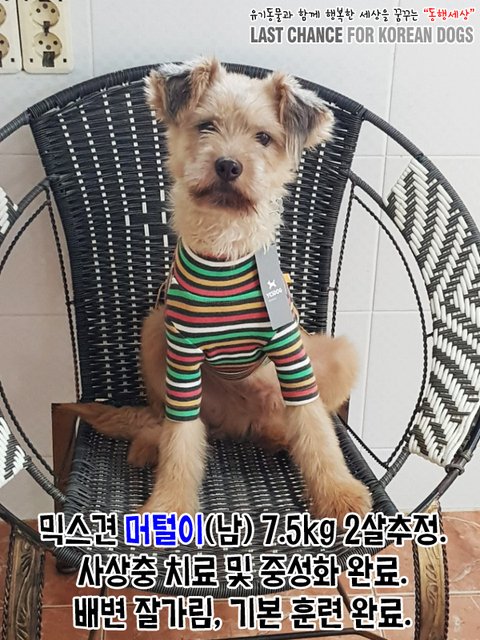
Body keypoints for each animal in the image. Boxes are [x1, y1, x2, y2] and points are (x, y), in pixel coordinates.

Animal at [64, 58, 372, 522]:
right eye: (206, 126)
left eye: (264, 137)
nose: (228, 166)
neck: (225, 252)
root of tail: (243, 421)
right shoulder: (182, 358)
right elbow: (180, 445)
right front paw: (168, 505)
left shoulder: (293, 357)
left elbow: (316, 429)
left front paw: (338, 493)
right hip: (155, 333)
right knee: (167, 424)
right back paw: (150, 445)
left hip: (337, 354)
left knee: (294, 421)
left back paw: (277, 437)